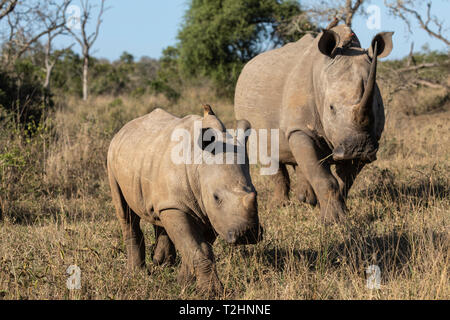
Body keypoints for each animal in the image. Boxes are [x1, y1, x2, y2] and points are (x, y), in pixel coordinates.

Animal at [107, 105, 262, 296]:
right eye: (216, 197)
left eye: (256, 193)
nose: (247, 234)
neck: (199, 165)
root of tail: (124, 128)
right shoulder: (182, 206)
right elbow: (199, 249)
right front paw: (210, 292)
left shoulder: (210, 213)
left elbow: (197, 247)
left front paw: (184, 283)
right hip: (112, 157)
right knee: (126, 213)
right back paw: (136, 274)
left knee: (158, 212)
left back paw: (162, 264)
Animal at [236, 23, 394, 222]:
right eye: (331, 108)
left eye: (378, 106)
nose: (359, 148)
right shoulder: (300, 129)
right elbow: (324, 178)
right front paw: (333, 221)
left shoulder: (367, 140)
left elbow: (344, 181)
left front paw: (341, 213)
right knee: (267, 152)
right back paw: (280, 206)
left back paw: (307, 200)